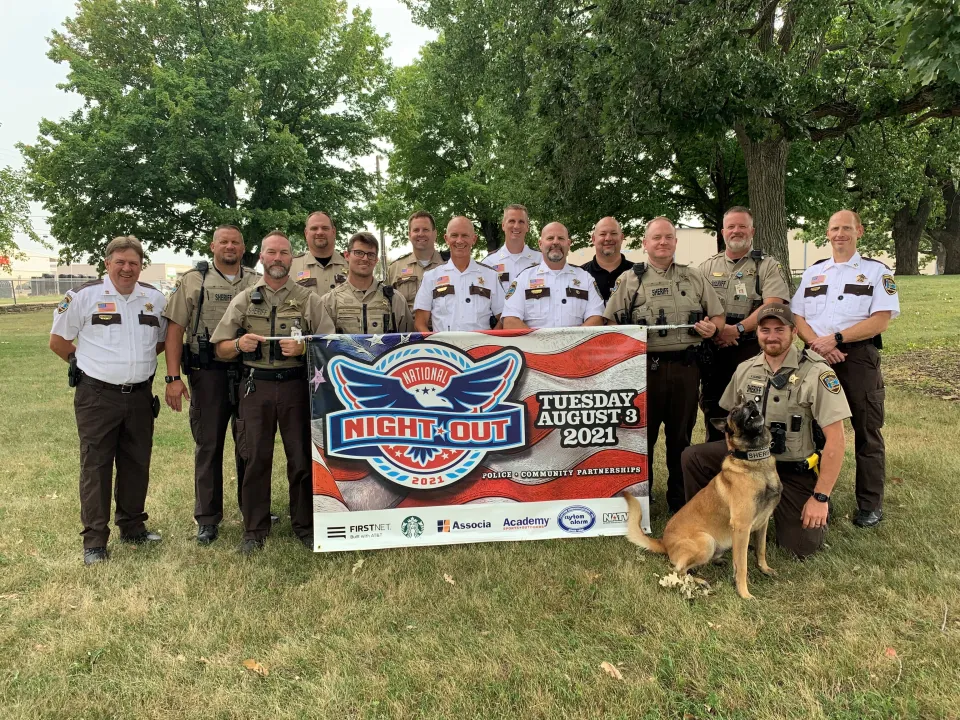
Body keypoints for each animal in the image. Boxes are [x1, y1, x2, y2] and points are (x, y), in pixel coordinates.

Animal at [628, 396, 784, 600]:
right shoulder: (742, 527)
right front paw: (744, 593)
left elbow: (761, 549)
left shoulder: (763, 522)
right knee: (678, 570)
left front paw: (764, 569)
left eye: (748, 403)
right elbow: (742, 565)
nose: (751, 402)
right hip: (706, 541)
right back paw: (700, 581)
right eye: (734, 412)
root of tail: (664, 543)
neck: (754, 462)